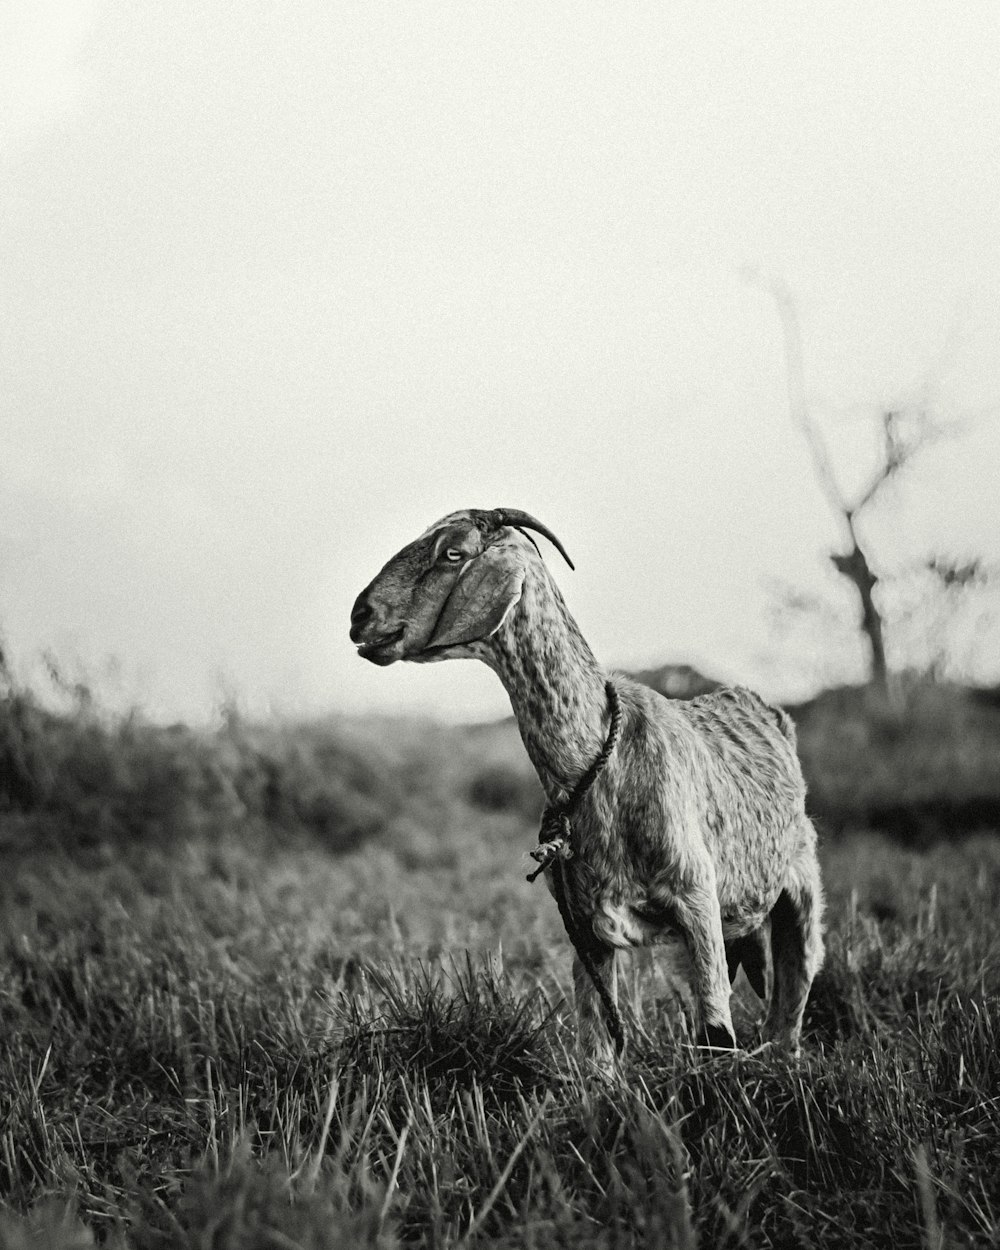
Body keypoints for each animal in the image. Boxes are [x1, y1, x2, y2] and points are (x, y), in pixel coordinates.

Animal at [347, 507, 825, 1065]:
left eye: (453, 552)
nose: (360, 615)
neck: (597, 764)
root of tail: (765, 710)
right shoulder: (584, 926)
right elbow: (597, 1043)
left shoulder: (697, 898)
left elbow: (715, 1031)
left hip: (799, 887)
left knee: (790, 1000)